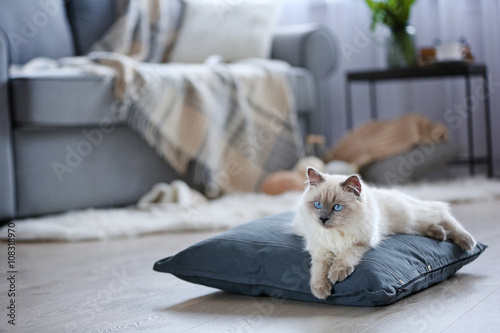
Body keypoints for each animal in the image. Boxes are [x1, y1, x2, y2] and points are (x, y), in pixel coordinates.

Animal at [292, 166, 476, 298]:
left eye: (337, 207)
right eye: (317, 205)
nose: (322, 219)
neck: (338, 232)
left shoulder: (361, 242)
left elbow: (345, 255)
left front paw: (337, 273)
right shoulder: (320, 250)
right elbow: (319, 269)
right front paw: (320, 289)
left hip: (411, 219)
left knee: (441, 212)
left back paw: (467, 241)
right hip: (410, 225)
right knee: (433, 221)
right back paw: (440, 234)